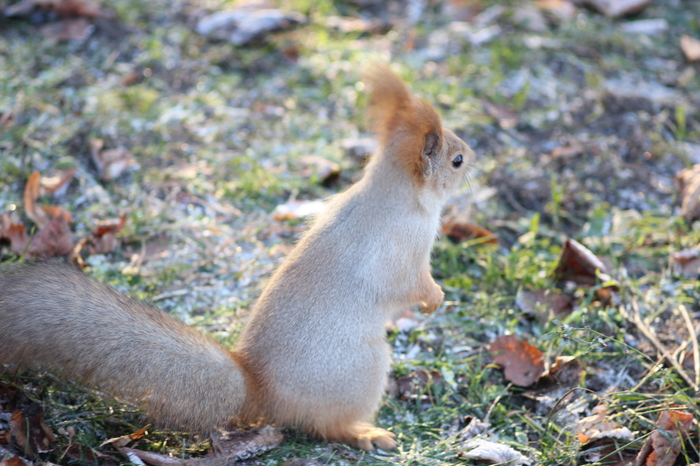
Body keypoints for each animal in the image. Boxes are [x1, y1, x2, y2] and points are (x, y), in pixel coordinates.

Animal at [0, 63, 476, 450]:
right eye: (456, 160)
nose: (476, 156)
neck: (393, 195)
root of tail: (261, 392)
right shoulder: (404, 253)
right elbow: (414, 284)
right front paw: (435, 300)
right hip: (365, 369)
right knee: (328, 425)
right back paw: (367, 433)